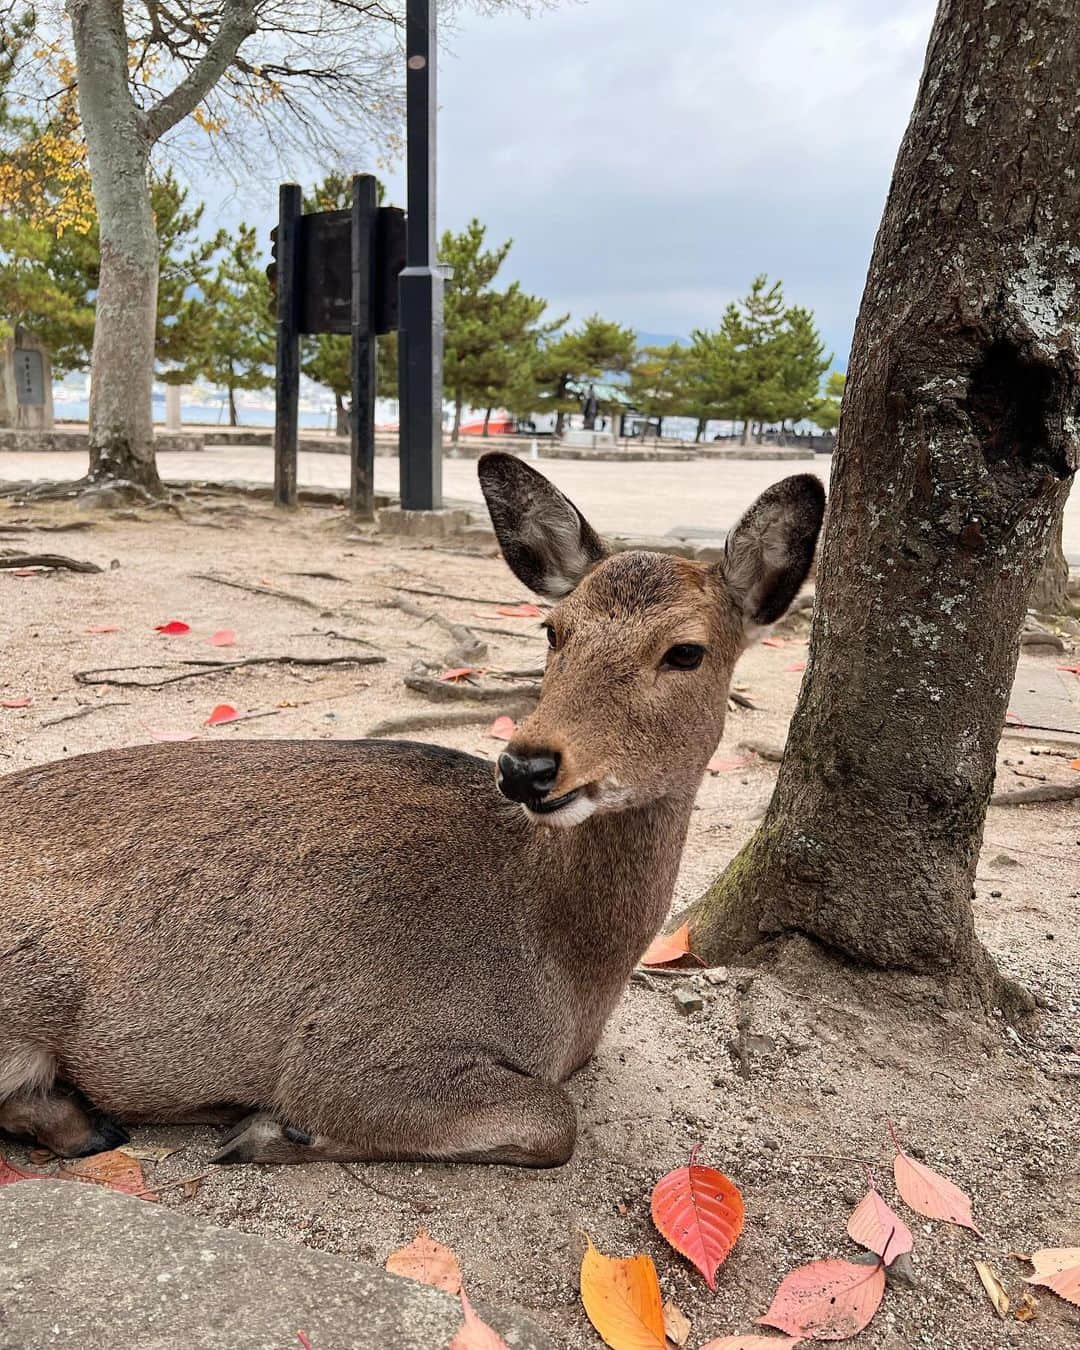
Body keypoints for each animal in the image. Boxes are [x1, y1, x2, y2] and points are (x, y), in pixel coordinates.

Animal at [0, 456, 820, 1171]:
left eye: (685, 651)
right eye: (553, 630)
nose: (527, 766)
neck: (571, 982)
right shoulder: (352, 1050)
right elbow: (556, 1120)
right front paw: (273, 1130)